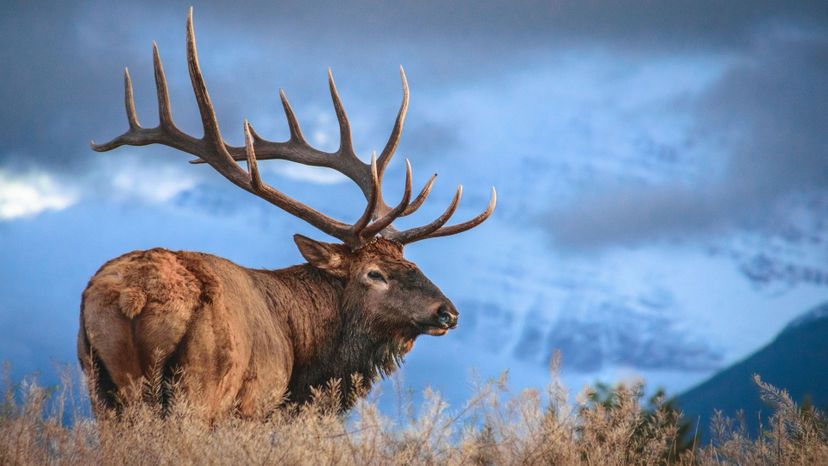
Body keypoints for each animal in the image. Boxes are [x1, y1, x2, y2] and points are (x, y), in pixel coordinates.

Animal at [78, 9, 495, 419]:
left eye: (413, 265)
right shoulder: (255, 404)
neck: (304, 358)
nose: (447, 312)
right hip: (200, 387)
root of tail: (135, 297)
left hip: (100, 386)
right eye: (374, 274)